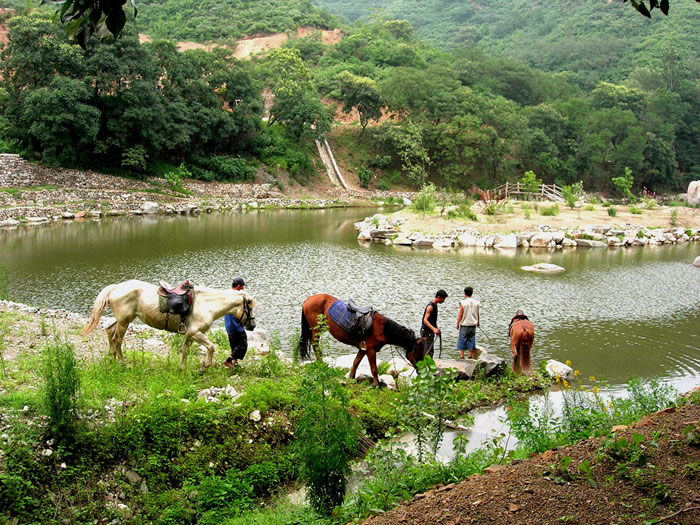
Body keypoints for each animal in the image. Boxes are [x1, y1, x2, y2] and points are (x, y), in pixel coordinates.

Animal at [80, 278, 254, 368]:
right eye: (250, 308)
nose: (252, 326)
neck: (206, 304)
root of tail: (116, 287)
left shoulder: (190, 334)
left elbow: (185, 351)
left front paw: (182, 368)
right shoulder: (196, 333)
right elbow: (211, 347)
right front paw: (205, 365)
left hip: (123, 320)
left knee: (110, 332)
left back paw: (112, 358)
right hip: (124, 321)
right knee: (117, 339)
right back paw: (121, 362)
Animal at [300, 292, 430, 386]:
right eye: (418, 352)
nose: (420, 371)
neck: (382, 329)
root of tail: (308, 299)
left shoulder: (363, 349)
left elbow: (356, 362)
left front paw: (351, 378)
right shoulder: (371, 350)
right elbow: (374, 369)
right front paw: (376, 385)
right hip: (316, 330)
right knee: (315, 345)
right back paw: (320, 363)